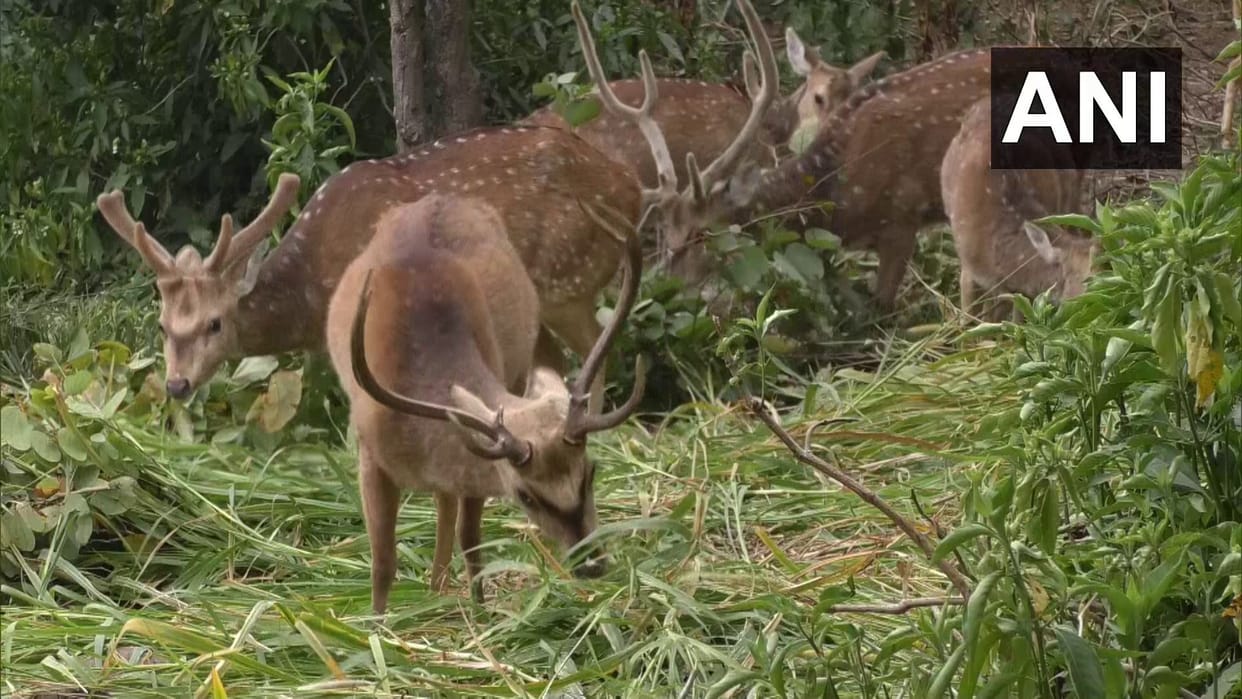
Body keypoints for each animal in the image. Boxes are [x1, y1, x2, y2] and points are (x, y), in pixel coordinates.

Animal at [95, 124, 645, 413]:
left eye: (214, 323)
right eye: (163, 325)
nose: (176, 385)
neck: (313, 293)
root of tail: (630, 186)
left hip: (565, 275)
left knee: (597, 348)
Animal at [330, 193, 645, 613]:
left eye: (592, 471)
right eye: (525, 495)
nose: (592, 564)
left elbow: (470, 539)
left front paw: (480, 613)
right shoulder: (369, 450)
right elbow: (382, 561)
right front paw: (374, 625)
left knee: (447, 504)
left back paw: (438, 589)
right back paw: (434, 591)